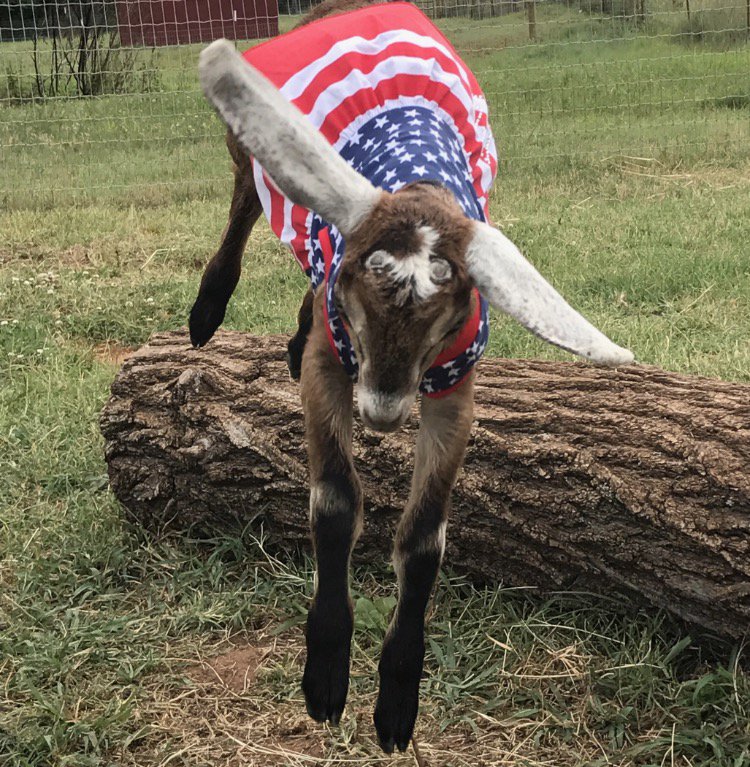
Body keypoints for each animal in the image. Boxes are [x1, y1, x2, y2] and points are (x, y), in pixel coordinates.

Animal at [190, 1, 633, 753]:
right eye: (358, 291)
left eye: (445, 314)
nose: (383, 411)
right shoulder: (333, 362)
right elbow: (335, 502)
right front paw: (325, 675)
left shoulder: (455, 386)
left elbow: (425, 540)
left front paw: (398, 701)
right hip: (254, 153)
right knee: (243, 204)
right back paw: (206, 311)